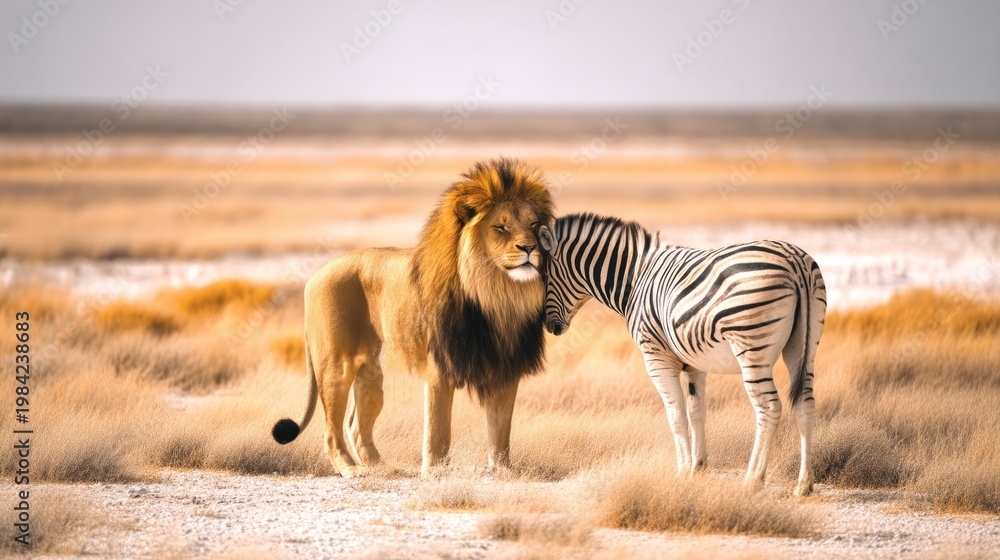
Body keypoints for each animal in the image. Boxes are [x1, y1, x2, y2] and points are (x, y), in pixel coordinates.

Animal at [271, 158, 555, 477]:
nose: (530, 247)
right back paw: (352, 470)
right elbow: (439, 429)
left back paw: (382, 468)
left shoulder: (505, 368)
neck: (498, 295)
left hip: (371, 374)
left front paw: (504, 472)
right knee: (331, 431)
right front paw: (435, 472)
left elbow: (501, 432)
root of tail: (315, 275)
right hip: (336, 367)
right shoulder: (439, 370)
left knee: (356, 425)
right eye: (501, 228)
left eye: (534, 225)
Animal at [537, 213, 826, 495]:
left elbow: (675, 416)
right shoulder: (694, 363)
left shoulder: (656, 358)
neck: (634, 280)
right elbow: (697, 413)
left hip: (752, 347)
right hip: (804, 346)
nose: (549, 328)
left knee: (769, 407)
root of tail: (794, 260)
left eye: (544, 278)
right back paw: (804, 485)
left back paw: (752, 480)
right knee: (806, 404)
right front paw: (698, 468)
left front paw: (682, 473)